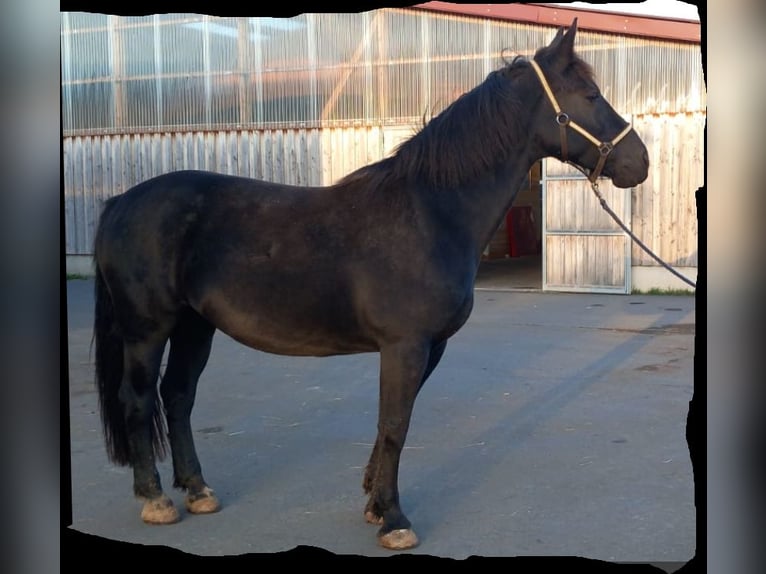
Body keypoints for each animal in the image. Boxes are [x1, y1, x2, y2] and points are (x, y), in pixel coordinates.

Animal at [91, 20, 649, 550]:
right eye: (591, 96)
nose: (639, 163)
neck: (430, 211)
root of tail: (120, 202)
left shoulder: (428, 347)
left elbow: (388, 427)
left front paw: (375, 505)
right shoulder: (405, 345)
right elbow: (396, 426)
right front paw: (395, 521)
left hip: (194, 326)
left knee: (178, 396)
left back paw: (198, 490)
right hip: (147, 330)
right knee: (138, 399)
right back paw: (156, 500)